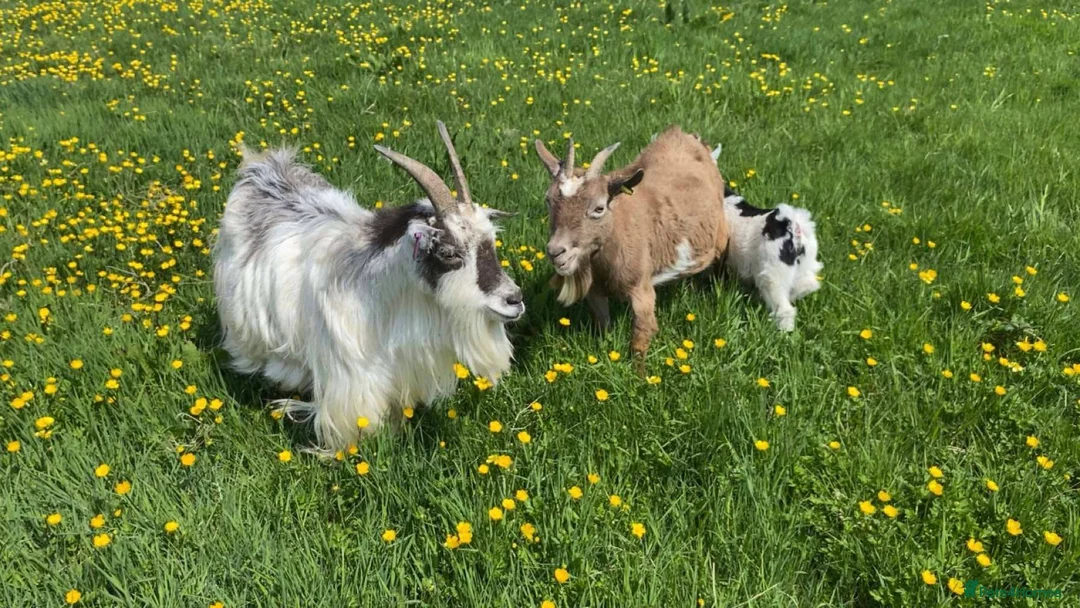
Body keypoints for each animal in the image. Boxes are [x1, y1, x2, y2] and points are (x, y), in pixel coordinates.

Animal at [534, 126, 728, 358]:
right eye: (548, 200)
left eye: (599, 208)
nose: (556, 252)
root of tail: (683, 134)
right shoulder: (595, 291)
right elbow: (603, 325)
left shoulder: (641, 288)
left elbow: (640, 339)